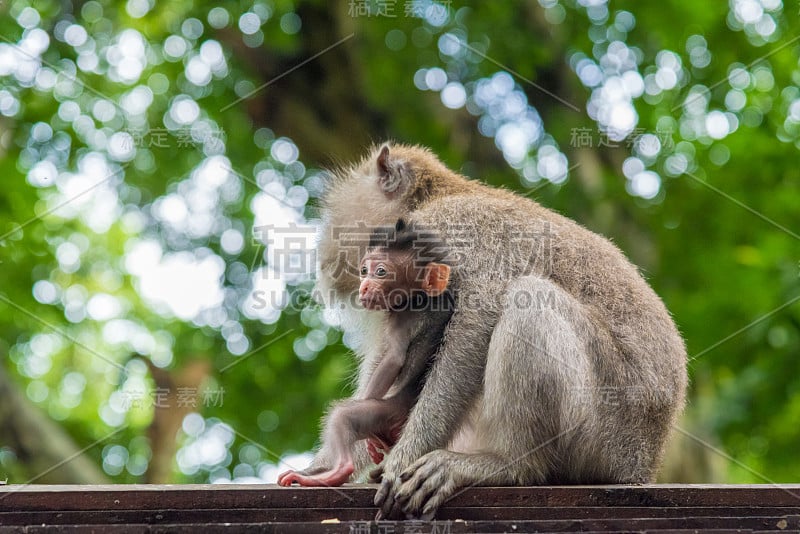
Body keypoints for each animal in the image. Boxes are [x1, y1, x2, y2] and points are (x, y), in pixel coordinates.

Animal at [276, 219, 454, 490]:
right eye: (363, 271)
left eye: (380, 272)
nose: (364, 285)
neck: (420, 298)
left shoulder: (399, 319)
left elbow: (393, 358)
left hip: (386, 414)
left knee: (343, 417)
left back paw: (334, 472)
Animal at [308, 144, 688, 520]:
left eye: (332, 211)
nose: (322, 257)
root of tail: (642, 463)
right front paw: (329, 462)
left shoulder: (453, 228)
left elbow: (474, 328)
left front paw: (403, 455)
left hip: (607, 429)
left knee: (530, 301)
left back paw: (511, 465)